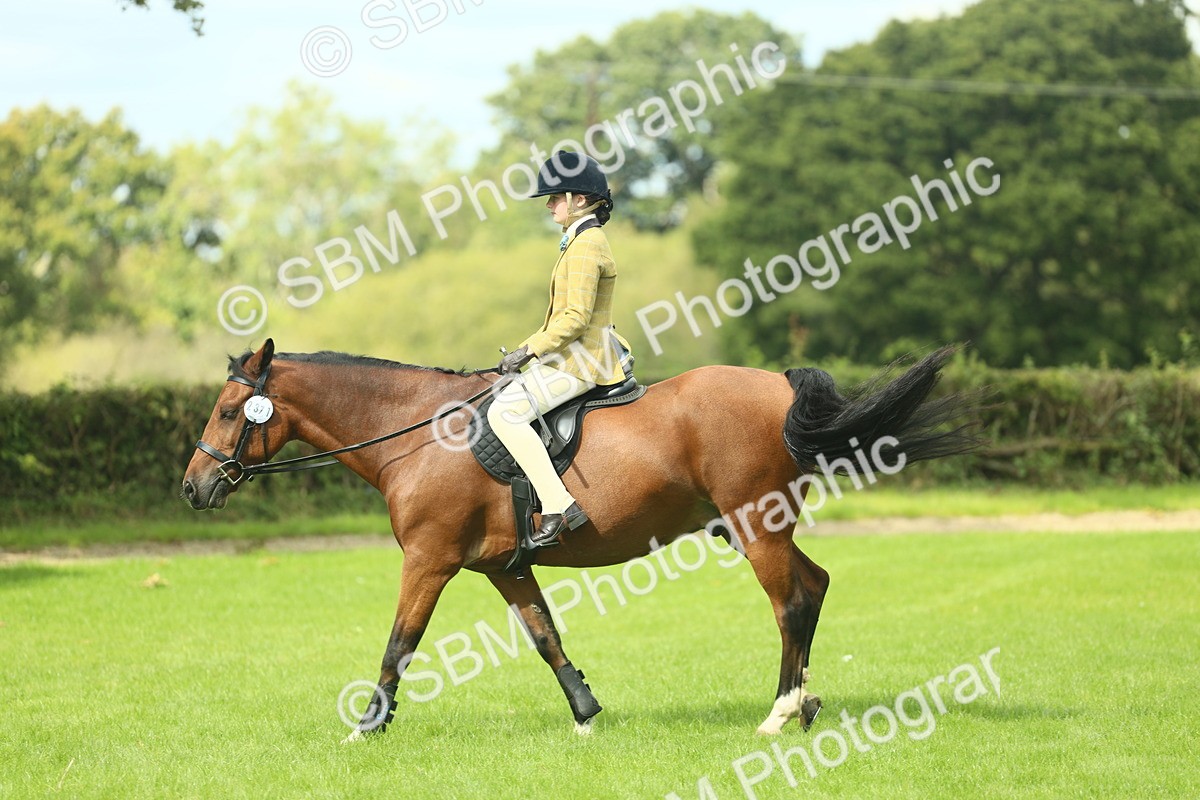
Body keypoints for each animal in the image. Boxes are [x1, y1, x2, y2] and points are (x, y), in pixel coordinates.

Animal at [180, 338, 978, 739]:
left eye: (228, 411)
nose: (193, 488)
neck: (419, 433)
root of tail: (779, 385)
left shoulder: (429, 561)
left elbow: (399, 643)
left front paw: (368, 725)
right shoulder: (504, 568)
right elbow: (545, 636)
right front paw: (587, 713)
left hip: (758, 525)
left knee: (791, 603)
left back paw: (780, 712)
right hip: (761, 525)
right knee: (814, 588)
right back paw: (805, 705)